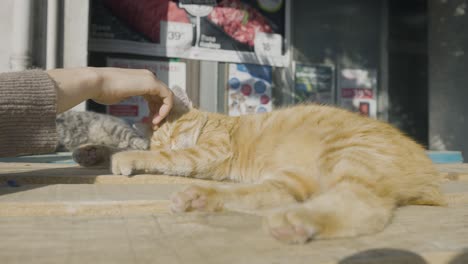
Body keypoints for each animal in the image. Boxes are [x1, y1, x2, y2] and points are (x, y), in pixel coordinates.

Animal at [110, 88, 446, 243]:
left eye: (174, 130)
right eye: (161, 138)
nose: (171, 142)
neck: (217, 122)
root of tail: (428, 171)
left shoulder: (209, 151)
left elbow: (170, 160)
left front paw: (126, 157)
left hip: (350, 156)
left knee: (365, 208)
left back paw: (296, 221)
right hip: (294, 177)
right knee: (266, 196)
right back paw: (198, 199)